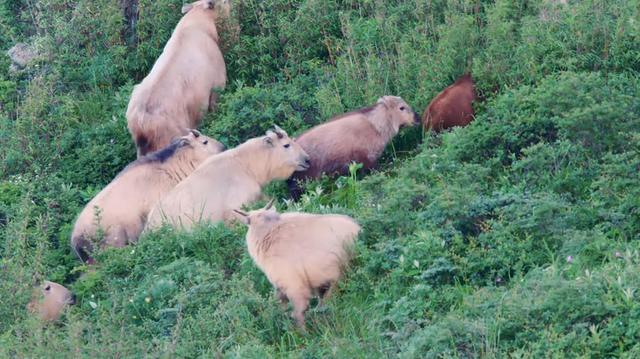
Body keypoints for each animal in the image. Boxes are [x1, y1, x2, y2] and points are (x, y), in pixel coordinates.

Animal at [234, 201, 360, 330]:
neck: (267, 231)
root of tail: (359, 229)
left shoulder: (294, 284)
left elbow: (297, 312)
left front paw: (301, 332)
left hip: (342, 269)